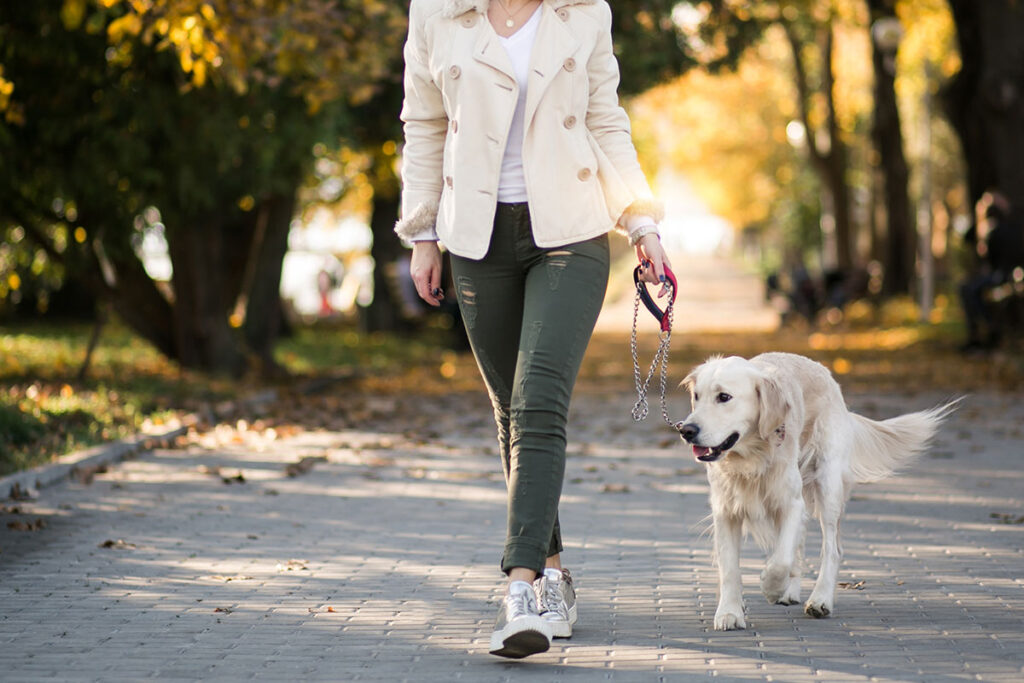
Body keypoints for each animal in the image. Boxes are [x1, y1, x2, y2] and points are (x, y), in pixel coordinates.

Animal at [675, 352, 954, 630]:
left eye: (724, 397)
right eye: (697, 396)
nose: (686, 430)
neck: (751, 459)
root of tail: (824, 372)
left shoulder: (791, 503)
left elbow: (781, 560)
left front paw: (771, 587)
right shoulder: (726, 510)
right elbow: (731, 567)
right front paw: (730, 611)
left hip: (828, 484)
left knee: (831, 549)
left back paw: (820, 599)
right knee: (798, 543)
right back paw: (790, 592)